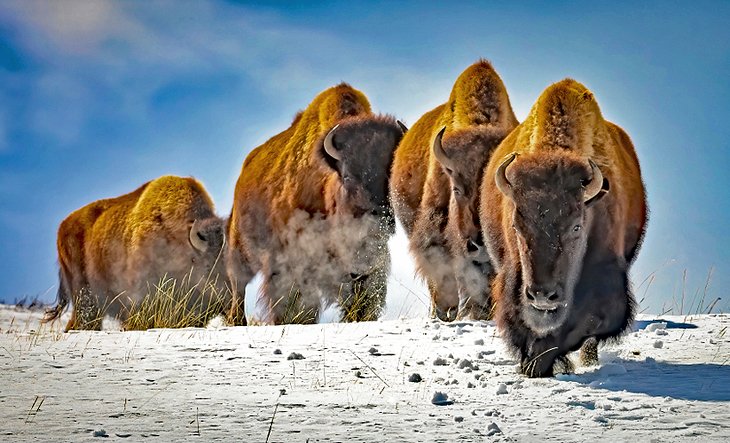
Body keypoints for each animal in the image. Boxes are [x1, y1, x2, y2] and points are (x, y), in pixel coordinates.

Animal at [480, 80, 644, 378]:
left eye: (577, 227)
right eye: (516, 225)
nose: (542, 295)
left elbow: (580, 324)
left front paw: (540, 363)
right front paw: (532, 363)